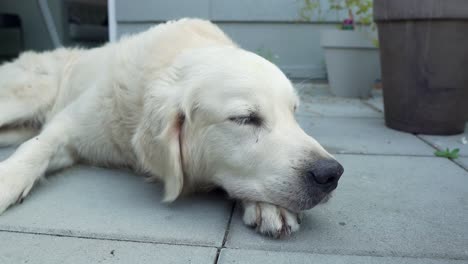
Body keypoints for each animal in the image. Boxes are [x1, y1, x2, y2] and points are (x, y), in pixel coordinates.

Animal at [0, 18, 344, 237]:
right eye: (245, 118)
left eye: (293, 113)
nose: (331, 174)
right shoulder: (69, 125)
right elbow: (37, 147)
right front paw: (7, 181)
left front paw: (269, 207)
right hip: (27, 97)